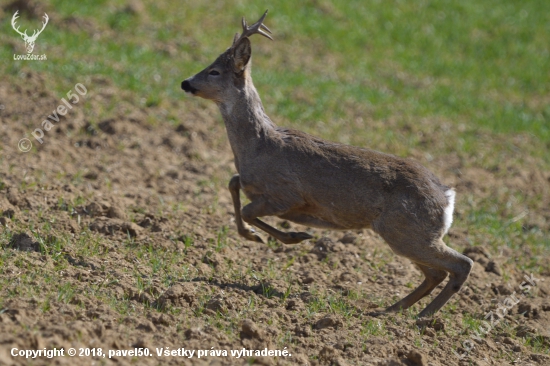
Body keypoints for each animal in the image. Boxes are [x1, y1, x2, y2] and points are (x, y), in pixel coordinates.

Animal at [181, 10, 474, 316]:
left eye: (214, 71)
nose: (186, 83)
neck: (258, 145)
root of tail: (447, 196)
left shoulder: (286, 194)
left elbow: (248, 211)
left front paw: (289, 236)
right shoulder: (255, 185)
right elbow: (233, 183)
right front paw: (259, 236)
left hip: (408, 231)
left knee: (461, 264)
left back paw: (422, 317)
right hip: (407, 233)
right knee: (435, 273)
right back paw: (390, 310)